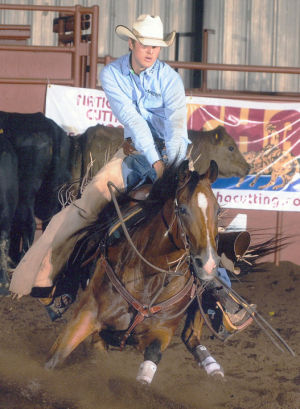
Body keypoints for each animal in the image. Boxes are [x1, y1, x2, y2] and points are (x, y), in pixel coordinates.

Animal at [45, 159, 221, 380]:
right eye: (182, 209)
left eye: (218, 210)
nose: (208, 264)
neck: (148, 277)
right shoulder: (87, 313)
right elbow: (55, 359)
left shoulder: (161, 331)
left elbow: (151, 358)